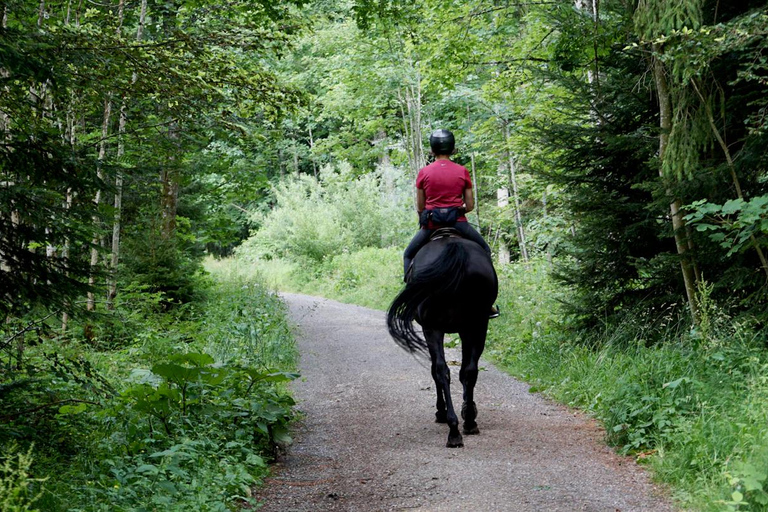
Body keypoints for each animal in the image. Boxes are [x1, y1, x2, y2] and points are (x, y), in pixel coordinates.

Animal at [384, 229, 498, 448]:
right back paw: (467, 422)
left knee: (441, 371)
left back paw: (452, 427)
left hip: (434, 327)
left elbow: (436, 369)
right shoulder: (466, 329)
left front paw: (442, 411)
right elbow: (464, 371)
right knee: (467, 370)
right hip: (477, 324)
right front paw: (467, 410)